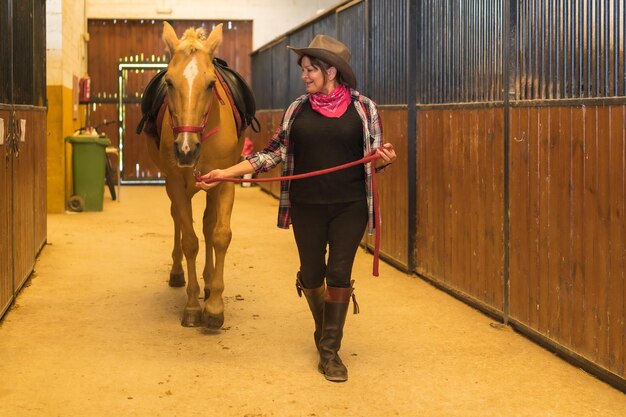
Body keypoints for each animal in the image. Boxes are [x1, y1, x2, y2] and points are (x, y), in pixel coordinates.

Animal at [144, 22, 244, 328]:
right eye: (169, 82)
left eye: (211, 83)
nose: (186, 149)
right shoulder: (175, 184)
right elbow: (190, 241)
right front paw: (191, 306)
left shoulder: (224, 183)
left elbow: (219, 234)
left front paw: (214, 306)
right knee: (179, 220)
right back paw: (178, 273)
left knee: (208, 225)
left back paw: (209, 283)